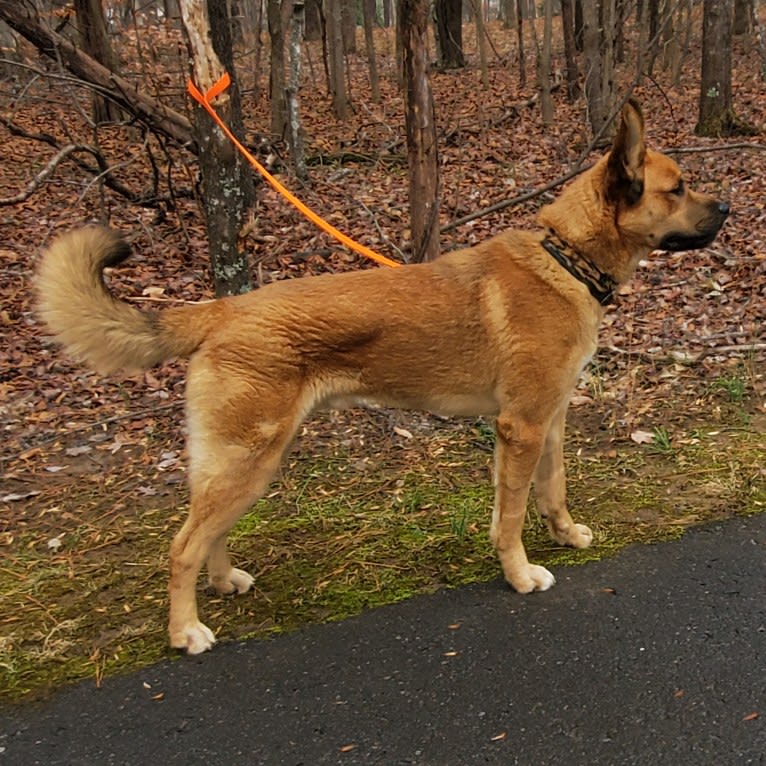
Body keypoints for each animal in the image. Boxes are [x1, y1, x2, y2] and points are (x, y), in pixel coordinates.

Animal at [37, 100, 732, 656]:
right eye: (678, 188)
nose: (726, 206)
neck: (566, 259)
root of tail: (222, 309)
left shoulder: (549, 423)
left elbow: (551, 491)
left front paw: (564, 536)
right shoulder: (521, 428)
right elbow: (510, 516)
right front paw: (519, 574)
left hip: (247, 464)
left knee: (207, 533)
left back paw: (223, 581)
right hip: (248, 461)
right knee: (182, 546)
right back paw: (185, 630)